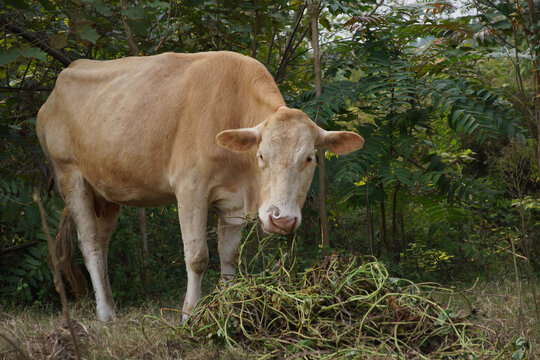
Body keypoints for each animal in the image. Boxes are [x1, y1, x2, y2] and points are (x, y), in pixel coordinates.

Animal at [35, 50, 364, 320]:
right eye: (261, 155)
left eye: (309, 158)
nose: (280, 219)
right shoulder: (190, 188)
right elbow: (197, 257)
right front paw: (190, 315)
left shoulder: (233, 201)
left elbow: (229, 256)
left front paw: (228, 309)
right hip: (70, 175)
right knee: (89, 244)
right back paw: (105, 315)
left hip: (106, 192)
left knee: (102, 246)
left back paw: (111, 306)